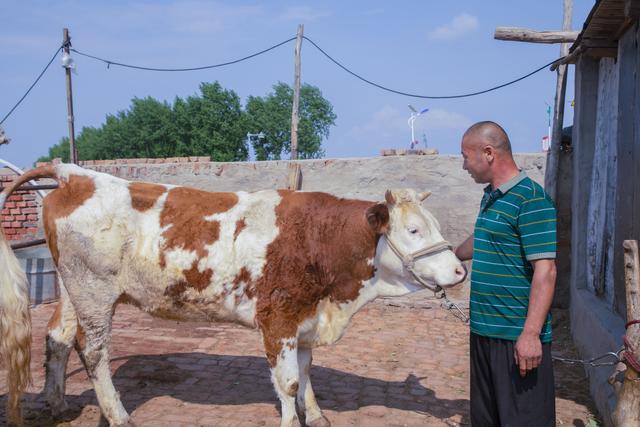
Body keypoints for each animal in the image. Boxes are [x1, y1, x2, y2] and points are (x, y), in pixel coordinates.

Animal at [0, 165, 464, 427]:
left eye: (434, 225)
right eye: (414, 229)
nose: (459, 270)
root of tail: (76, 174)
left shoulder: (305, 319)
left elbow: (306, 372)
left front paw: (316, 414)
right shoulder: (278, 317)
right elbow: (289, 381)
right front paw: (292, 421)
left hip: (73, 290)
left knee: (58, 339)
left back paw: (57, 406)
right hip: (94, 293)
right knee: (93, 352)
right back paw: (119, 416)